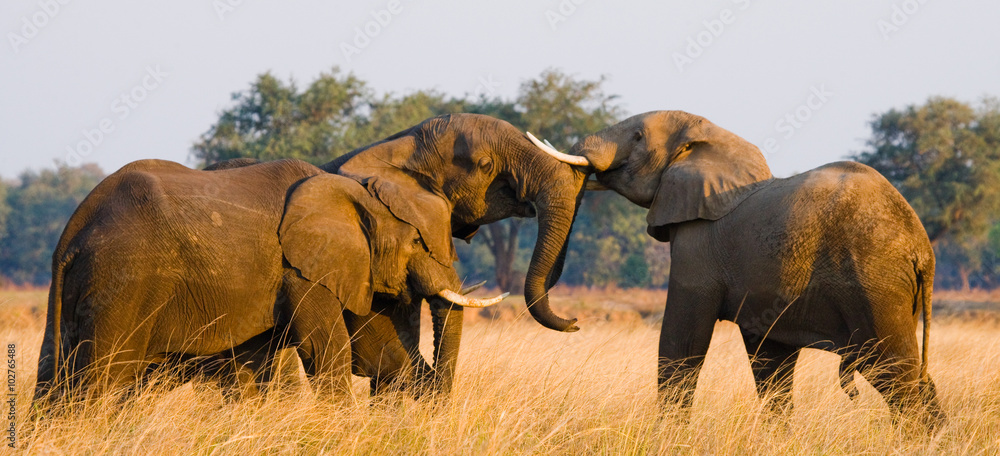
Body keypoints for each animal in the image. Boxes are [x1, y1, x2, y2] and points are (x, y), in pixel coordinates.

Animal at [33, 158, 504, 402]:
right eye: (417, 242)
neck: (349, 188)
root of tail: (74, 230)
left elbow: (378, 354)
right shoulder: (300, 270)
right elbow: (328, 352)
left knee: (55, 376)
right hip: (122, 285)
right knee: (99, 381)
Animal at [546, 110, 945, 428]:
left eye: (638, 136)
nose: (574, 322)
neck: (710, 138)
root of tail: (921, 248)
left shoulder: (697, 245)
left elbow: (682, 342)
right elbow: (770, 363)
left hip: (874, 281)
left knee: (896, 374)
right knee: (912, 377)